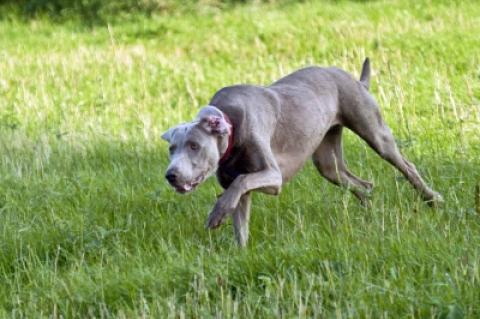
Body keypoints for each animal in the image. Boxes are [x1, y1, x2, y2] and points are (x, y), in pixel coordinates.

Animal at [162, 58, 442, 246]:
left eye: (194, 145)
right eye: (171, 149)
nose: (170, 175)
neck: (231, 127)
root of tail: (355, 80)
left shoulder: (272, 176)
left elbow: (241, 182)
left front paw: (217, 213)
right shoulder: (240, 189)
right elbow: (239, 217)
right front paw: (239, 251)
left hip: (374, 132)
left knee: (406, 165)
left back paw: (432, 199)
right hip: (328, 160)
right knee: (361, 183)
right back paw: (369, 213)